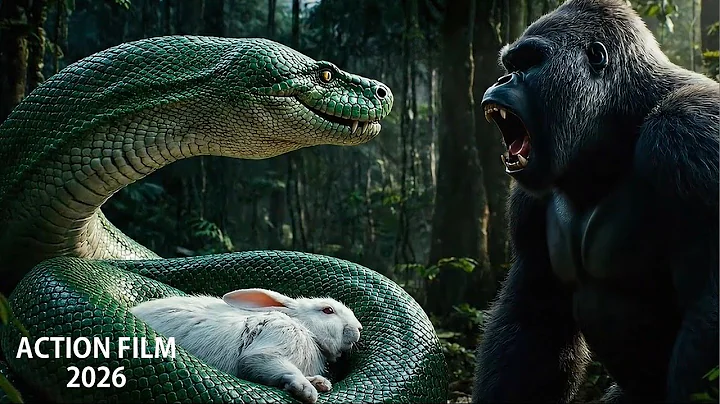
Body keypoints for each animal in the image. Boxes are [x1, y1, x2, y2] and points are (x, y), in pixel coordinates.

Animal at [129, 288, 363, 404]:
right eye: (327, 310)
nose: (359, 328)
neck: (305, 329)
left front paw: (320, 383)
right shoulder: (271, 346)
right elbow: (269, 365)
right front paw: (306, 389)